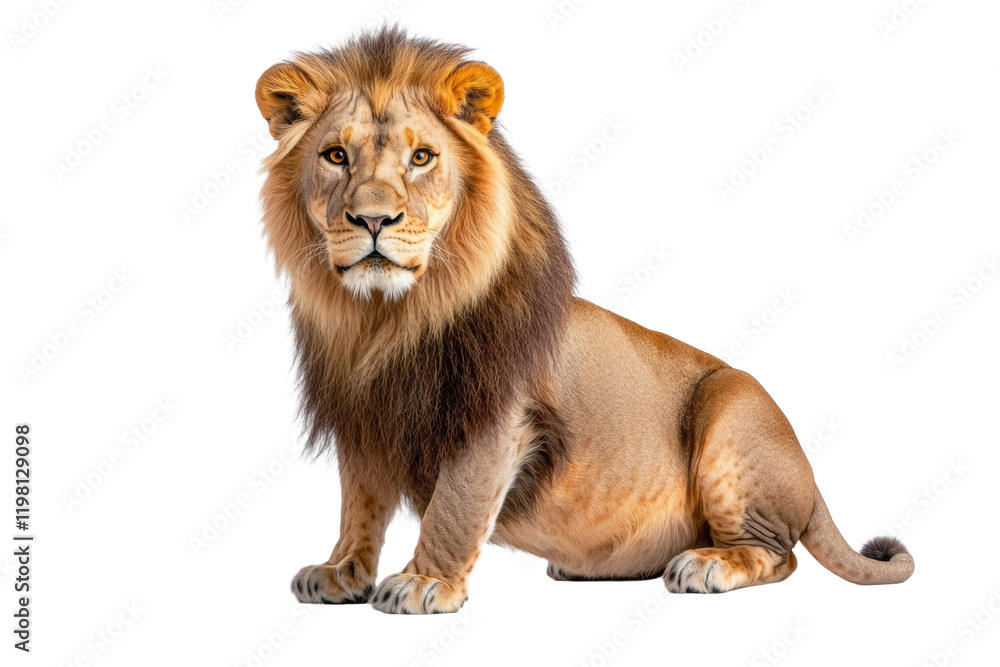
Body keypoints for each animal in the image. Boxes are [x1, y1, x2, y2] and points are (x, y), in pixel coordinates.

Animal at [255, 27, 913, 614]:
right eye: (336, 156)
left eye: (422, 158)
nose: (373, 220)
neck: (385, 321)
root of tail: (808, 473)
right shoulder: (362, 416)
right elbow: (359, 504)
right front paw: (341, 570)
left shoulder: (495, 418)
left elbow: (454, 507)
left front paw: (424, 582)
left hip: (734, 405)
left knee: (780, 555)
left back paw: (708, 565)